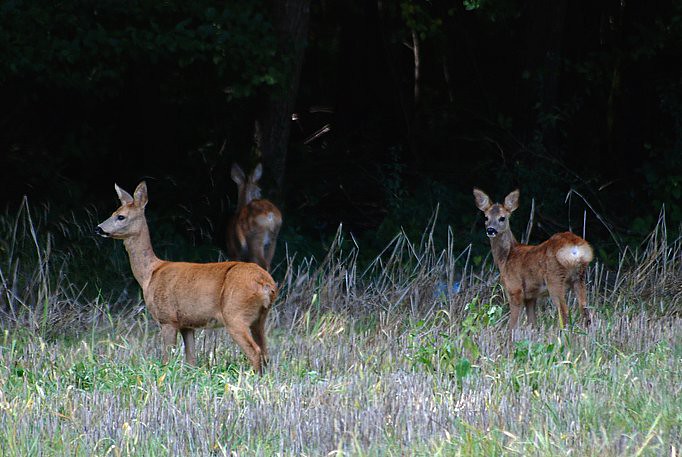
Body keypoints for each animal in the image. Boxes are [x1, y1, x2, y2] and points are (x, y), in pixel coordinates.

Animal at [95, 182, 276, 374]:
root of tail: (266, 284)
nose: (98, 228)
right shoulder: (187, 324)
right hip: (259, 318)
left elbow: (166, 360)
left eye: (120, 216)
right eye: (113, 213)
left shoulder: (167, 318)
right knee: (266, 353)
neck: (149, 274)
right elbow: (191, 361)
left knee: (255, 352)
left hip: (235, 314)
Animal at [470, 187, 592, 330]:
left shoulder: (515, 289)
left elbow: (512, 324)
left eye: (502, 218)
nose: (490, 230)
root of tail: (574, 246)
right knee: (585, 310)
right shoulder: (531, 296)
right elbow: (532, 323)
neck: (506, 257)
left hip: (555, 279)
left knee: (564, 311)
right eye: (486, 217)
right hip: (579, 277)